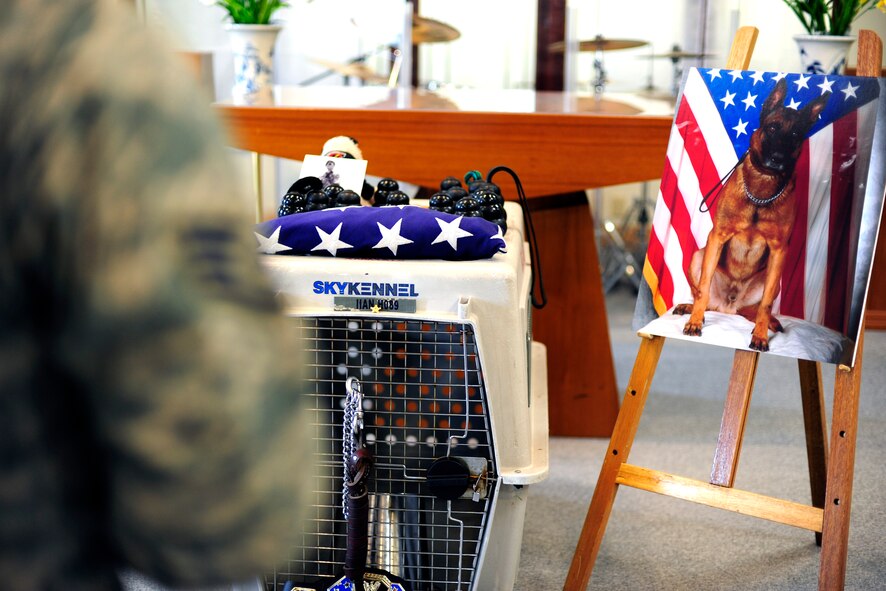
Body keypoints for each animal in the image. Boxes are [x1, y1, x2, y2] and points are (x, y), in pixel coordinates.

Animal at [680, 76, 832, 350]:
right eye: (772, 128)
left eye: (795, 134)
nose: (778, 158)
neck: (762, 192)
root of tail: (728, 308)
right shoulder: (716, 237)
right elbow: (703, 287)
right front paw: (695, 322)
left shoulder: (780, 251)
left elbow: (766, 305)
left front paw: (760, 335)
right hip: (699, 256)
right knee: (702, 297)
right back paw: (692, 309)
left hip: (773, 278)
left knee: (756, 308)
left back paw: (768, 322)